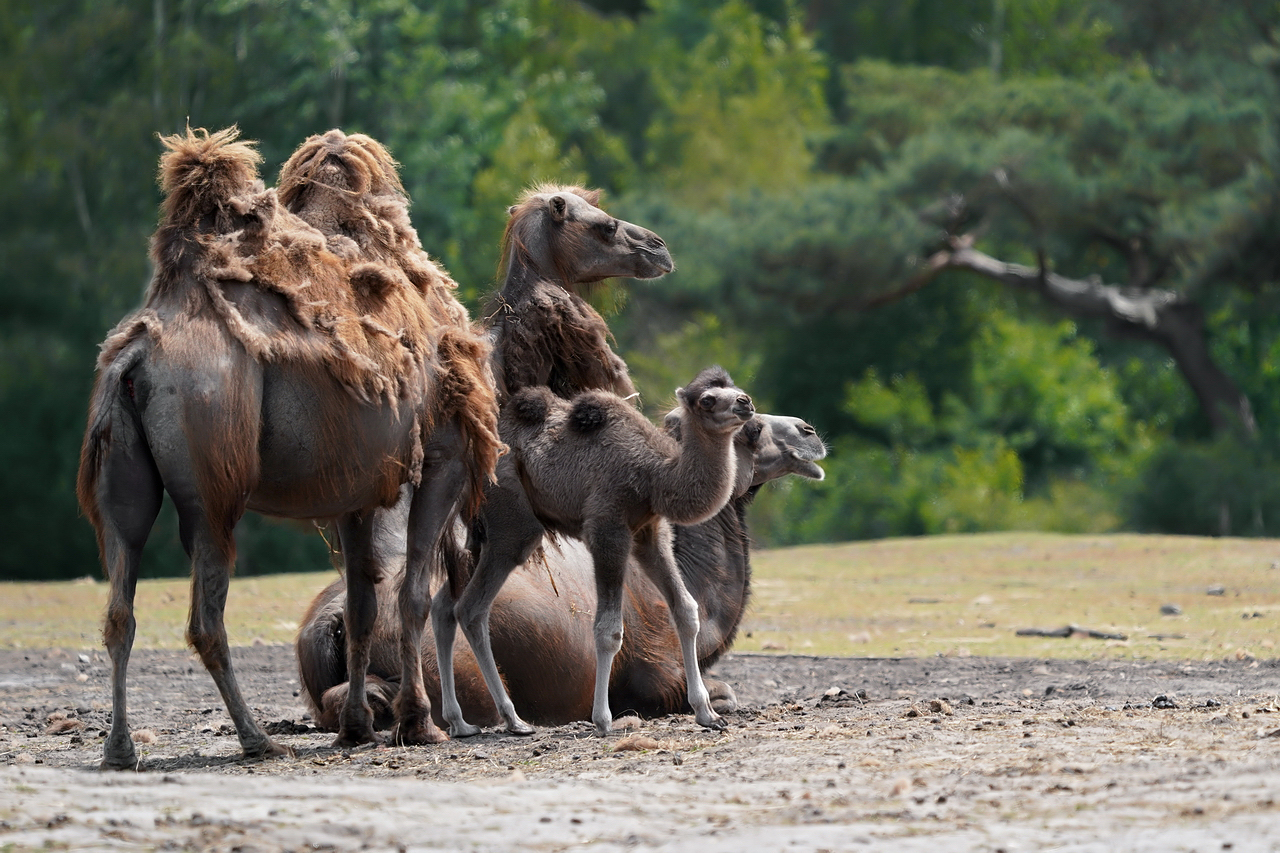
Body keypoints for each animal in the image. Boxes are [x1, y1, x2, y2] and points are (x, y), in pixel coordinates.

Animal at [445, 361, 752, 732]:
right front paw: (604, 719)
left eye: (734, 387)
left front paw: (707, 713)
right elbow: (608, 630)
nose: (745, 403)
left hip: (480, 534)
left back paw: (461, 723)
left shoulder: (649, 533)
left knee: (445, 605)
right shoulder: (607, 528)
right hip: (509, 516)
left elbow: (686, 611)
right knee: (472, 607)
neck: (654, 475)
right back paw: (513, 718)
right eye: (707, 400)